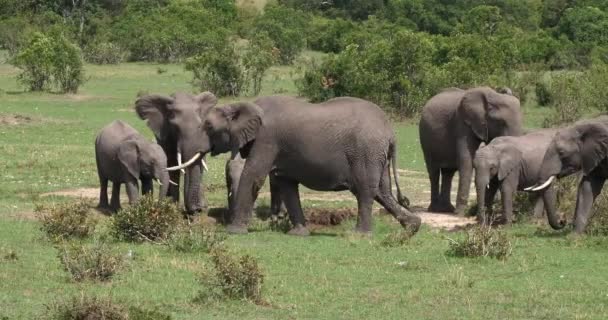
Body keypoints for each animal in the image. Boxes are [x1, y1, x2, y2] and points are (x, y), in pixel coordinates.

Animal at [169, 95, 420, 235]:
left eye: (208, 127)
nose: (196, 213)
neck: (243, 105)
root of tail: (390, 132)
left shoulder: (267, 139)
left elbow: (254, 175)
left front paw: (234, 232)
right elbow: (287, 184)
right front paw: (298, 233)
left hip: (365, 151)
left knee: (365, 191)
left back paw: (361, 235)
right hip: (376, 154)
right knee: (382, 192)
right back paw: (413, 227)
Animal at [418, 86, 524, 214]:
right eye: (501, 122)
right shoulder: (462, 123)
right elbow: (466, 161)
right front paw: (460, 213)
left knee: (448, 173)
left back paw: (446, 209)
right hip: (425, 139)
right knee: (434, 172)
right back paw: (435, 209)